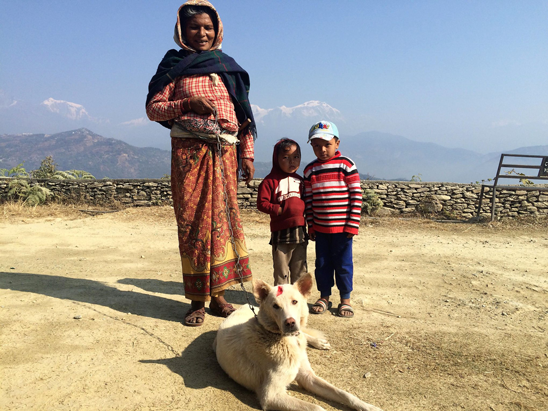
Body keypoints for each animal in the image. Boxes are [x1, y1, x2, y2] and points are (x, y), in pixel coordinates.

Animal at [212, 274, 384, 411]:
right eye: (275, 306)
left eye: (295, 302)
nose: (290, 323)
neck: (287, 340)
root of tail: (244, 306)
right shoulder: (271, 396)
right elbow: (317, 408)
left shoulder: (308, 377)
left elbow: (345, 394)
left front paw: (369, 407)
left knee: (305, 334)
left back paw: (319, 342)